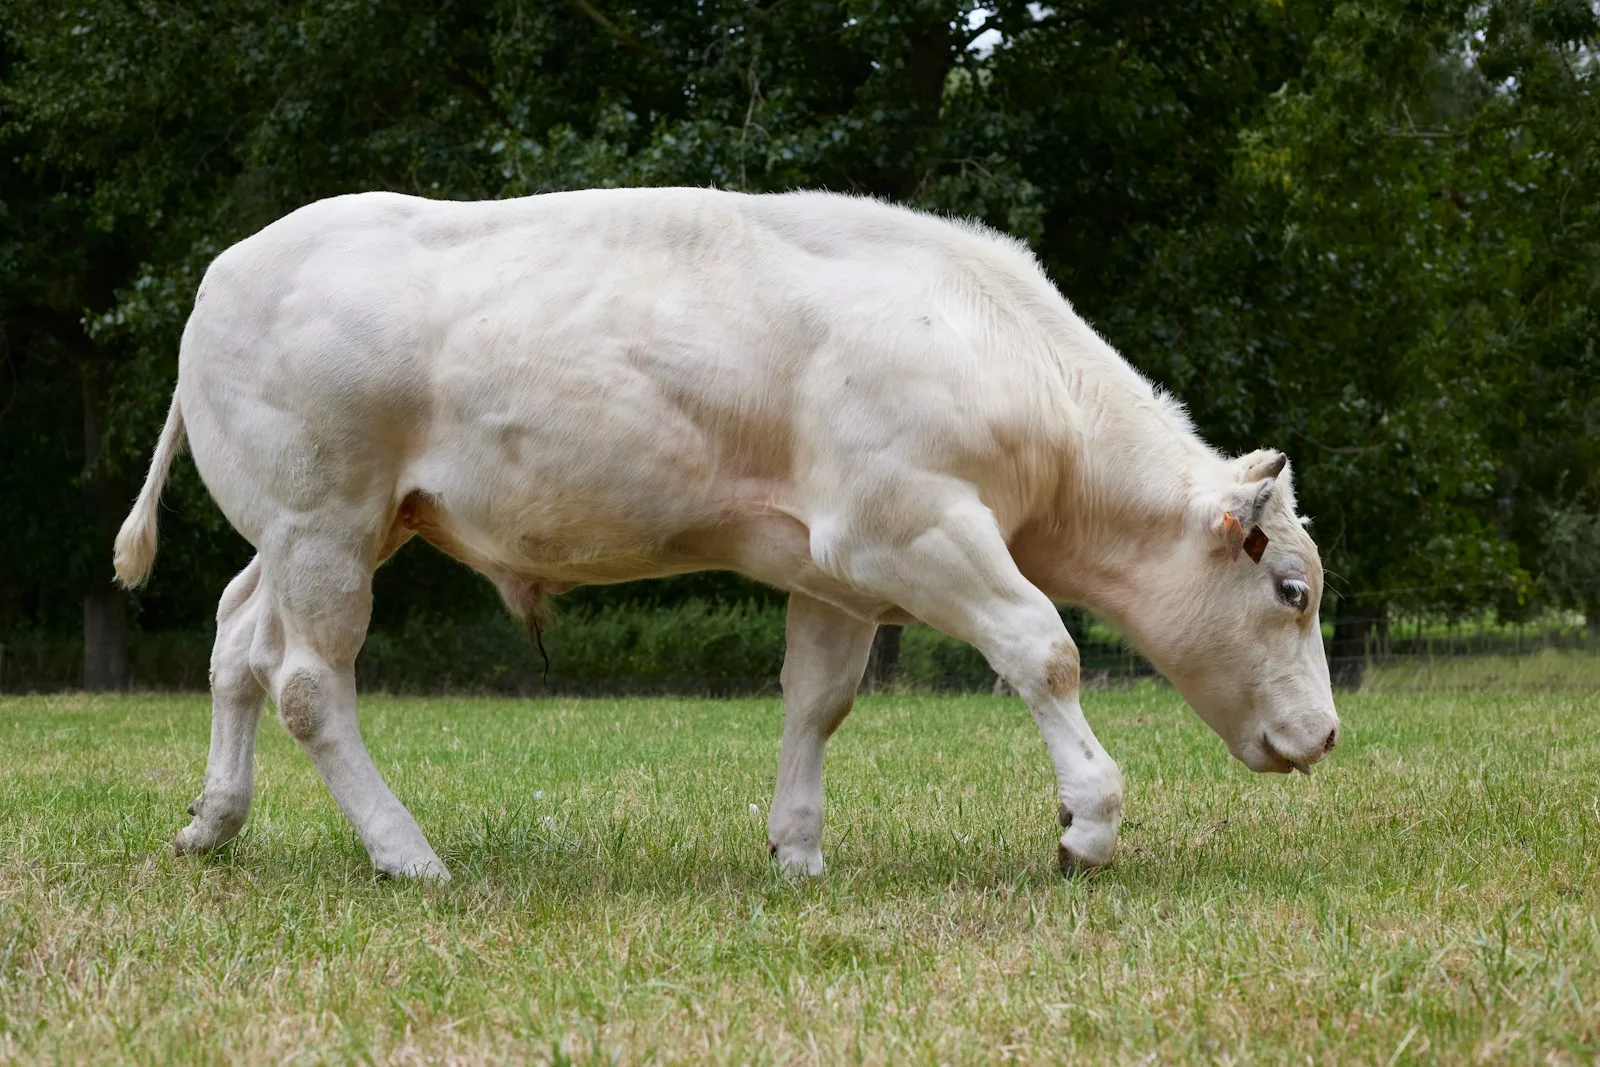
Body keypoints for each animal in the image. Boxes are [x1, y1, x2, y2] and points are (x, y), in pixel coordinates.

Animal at [114, 187, 1339, 883]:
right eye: (1291, 587)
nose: (1325, 736)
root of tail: (225, 270)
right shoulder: (912, 526)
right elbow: (1046, 649)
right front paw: (1087, 824)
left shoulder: (836, 569)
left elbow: (817, 700)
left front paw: (796, 849)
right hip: (322, 519)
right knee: (309, 683)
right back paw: (406, 853)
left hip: (327, 529)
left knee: (237, 640)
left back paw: (212, 822)